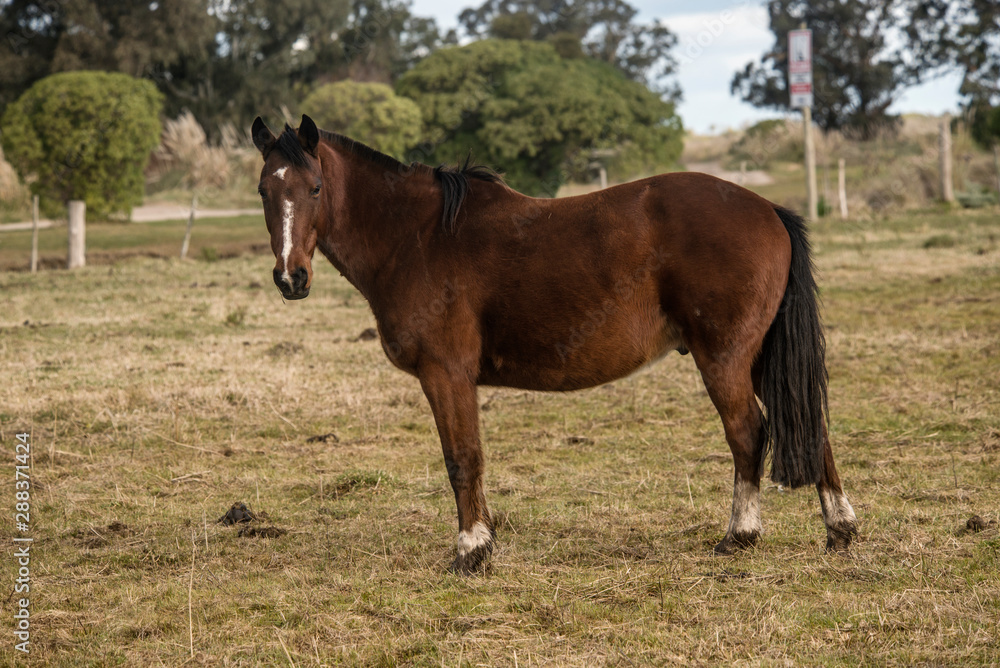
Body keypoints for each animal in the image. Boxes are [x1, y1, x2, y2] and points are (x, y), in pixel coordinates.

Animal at [252, 115, 860, 576]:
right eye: (264, 190)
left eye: (314, 188)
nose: (290, 278)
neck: (417, 237)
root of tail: (768, 209)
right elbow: (470, 457)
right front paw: (484, 539)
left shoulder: (445, 374)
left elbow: (462, 458)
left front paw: (471, 550)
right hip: (757, 358)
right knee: (809, 423)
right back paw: (840, 528)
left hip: (726, 359)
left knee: (748, 433)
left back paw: (741, 534)